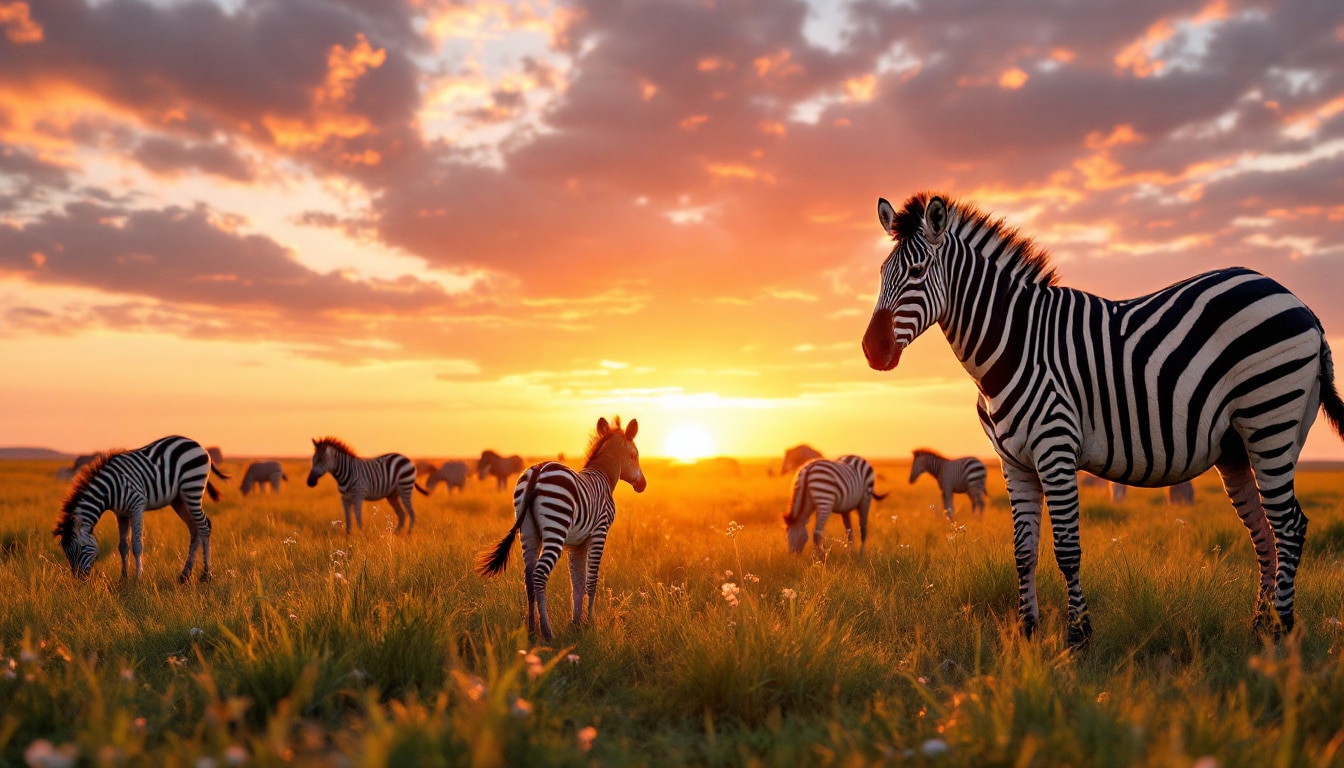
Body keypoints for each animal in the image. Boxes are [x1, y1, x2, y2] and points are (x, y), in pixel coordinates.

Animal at [50, 435, 225, 581]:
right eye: (67, 554)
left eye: (82, 548)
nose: (80, 579)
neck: (109, 489)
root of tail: (197, 444)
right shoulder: (120, 514)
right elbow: (123, 546)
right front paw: (123, 578)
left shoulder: (137, 506)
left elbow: (136, 544)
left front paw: (138, 579)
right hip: (179, 499)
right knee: (194, 529)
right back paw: (185, 576)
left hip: (192, 488)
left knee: (204, 526)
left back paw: (206, 575)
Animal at [475, 416, 647, 640]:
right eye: (635, 455)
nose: (643, 485)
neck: (604, 475)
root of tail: (537, 471)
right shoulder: (599, 533)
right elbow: (591, 580)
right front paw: (589, 622)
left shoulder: (576, 543)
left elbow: (577, 582)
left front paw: (577, 623)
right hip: (556, 527)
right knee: (539, 574)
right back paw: (547, 632)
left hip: (528, 531)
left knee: (529, 576)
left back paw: (532, 630)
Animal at [860, 193, 1344, 648]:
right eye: (881, 274)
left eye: (918, 271)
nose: (871, 350)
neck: (1015, 345)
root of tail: (1298, 302)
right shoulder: (1013, 463)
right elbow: (1023, 550)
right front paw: (1027, 632)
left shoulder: (1054, 448)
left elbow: (1067, 549)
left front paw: (1077, 637)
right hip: (1238, 446)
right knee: (1265, 531)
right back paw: (1260, 626)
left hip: (1270, 420)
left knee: (1290, 525)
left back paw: (1282, 630)